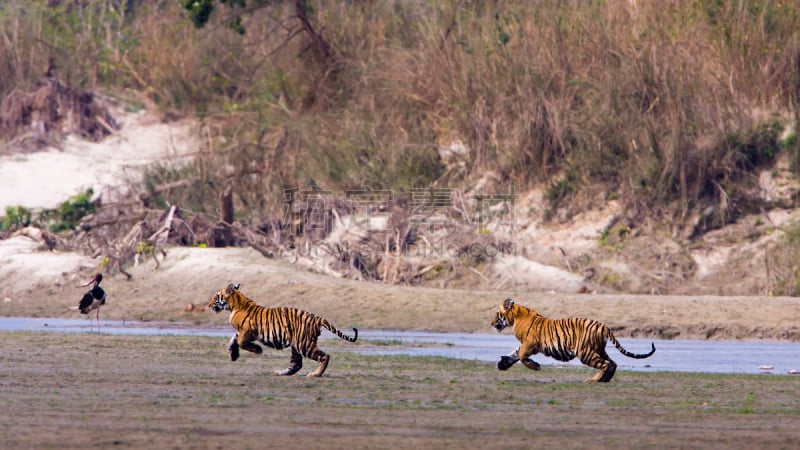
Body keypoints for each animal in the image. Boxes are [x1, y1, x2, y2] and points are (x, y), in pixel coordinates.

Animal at [208, 284, 358, 376]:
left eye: (215, 297)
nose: (208, 305)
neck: (235, 305)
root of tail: (316, 318)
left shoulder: (248, 331)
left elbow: (240, 341)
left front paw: (257, 350)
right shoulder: (242, 331)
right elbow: (233, 339)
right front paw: (232, 354)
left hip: (304, 345)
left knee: (325, 356)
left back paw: (315, 374)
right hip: (296, 346)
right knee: (296, 364)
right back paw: (280, 373)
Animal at [490, 298, 652, 382]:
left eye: (497, 314)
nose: (491, 324)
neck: (516, 317)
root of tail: (603, 326)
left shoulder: (530, 344)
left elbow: (522, 356)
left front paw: (535, 366)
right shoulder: (526, 344)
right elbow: (515, 354)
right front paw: (502, 364)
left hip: (585, 352)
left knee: (605, 364)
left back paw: (593, 380)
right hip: (598, 349)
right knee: (613, 363)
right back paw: (604, 379)